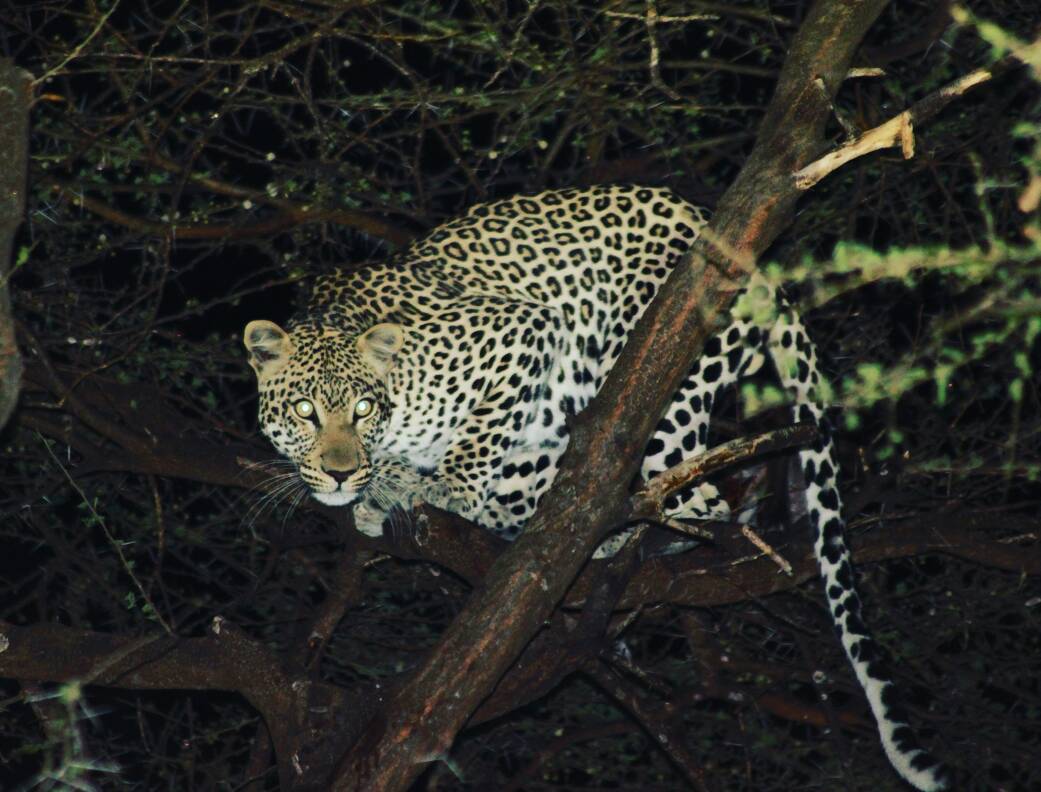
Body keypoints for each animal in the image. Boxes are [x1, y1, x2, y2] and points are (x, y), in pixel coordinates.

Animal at [244, 184, 949, 791]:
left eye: (363, 408)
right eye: (304, 412)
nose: (340, 471)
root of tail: (758, 267)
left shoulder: (518, 333)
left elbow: (476, 444)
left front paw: (441, 491)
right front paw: (383, 489)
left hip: (655, 380)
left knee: (693, 502)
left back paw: (614, 542)